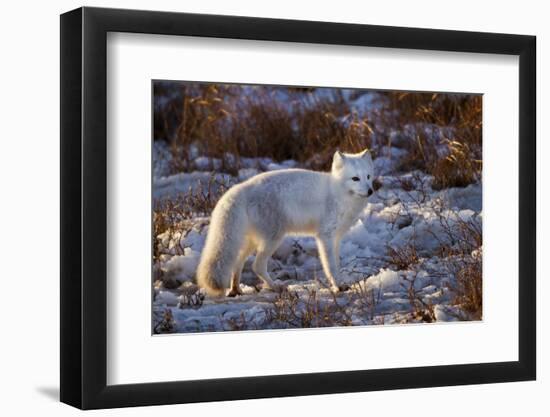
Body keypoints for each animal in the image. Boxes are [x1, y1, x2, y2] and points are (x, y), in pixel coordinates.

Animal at [196, 150, 378, 296]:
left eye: (368, 176)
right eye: (355, 178)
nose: (370, 191)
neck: (338, 193)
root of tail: (241, 188)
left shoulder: (336, 238)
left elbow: (337, 263)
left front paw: (340, 282)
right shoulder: (324, 236)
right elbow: (330, 265)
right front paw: (338, 286)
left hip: (252, 241)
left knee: (237, 262)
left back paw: (235, 289)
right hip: (273, 238)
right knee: (257, 266)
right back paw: (275, 287)